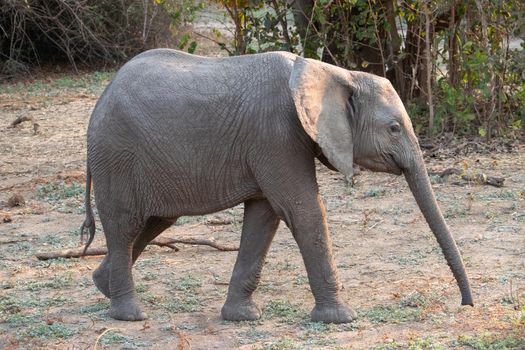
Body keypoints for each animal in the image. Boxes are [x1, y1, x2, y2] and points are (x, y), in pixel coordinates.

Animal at [79, 47, 474, 324]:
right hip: (117, 155)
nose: (466, 304)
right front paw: (341, 319)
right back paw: (129, 315)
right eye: (393, 128)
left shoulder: (271, 144)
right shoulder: (277, 135)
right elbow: (303, 210)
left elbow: (264, 217)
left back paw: (102, 286)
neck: (332, 72)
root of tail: (101, 99)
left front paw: (242, 317)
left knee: (154, 222)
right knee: (126, 224)